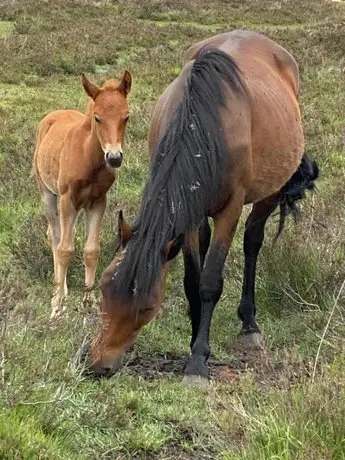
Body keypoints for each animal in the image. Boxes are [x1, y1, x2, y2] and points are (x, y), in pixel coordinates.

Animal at [33, 72, 131, 318]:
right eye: (97, 118)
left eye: (126, 117)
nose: (114, 158)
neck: (89, 159)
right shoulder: (68, 199)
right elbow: (65, 249)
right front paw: (57, 306)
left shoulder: (98, 202)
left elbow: (91, 250)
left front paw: (88, 302)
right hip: (48, 194)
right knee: (55, 236)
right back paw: (59, 290)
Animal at [88, 30, 318, 384]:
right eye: (103, 288)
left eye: (147, 307)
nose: (98, 365)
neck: (205, 127)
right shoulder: (190, 213)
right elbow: (191, 281)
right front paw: (196, 336)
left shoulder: (230, 209)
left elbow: (210, 282)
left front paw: (198, 359)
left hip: (268, 192)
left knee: (253, 241)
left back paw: (249, 324)